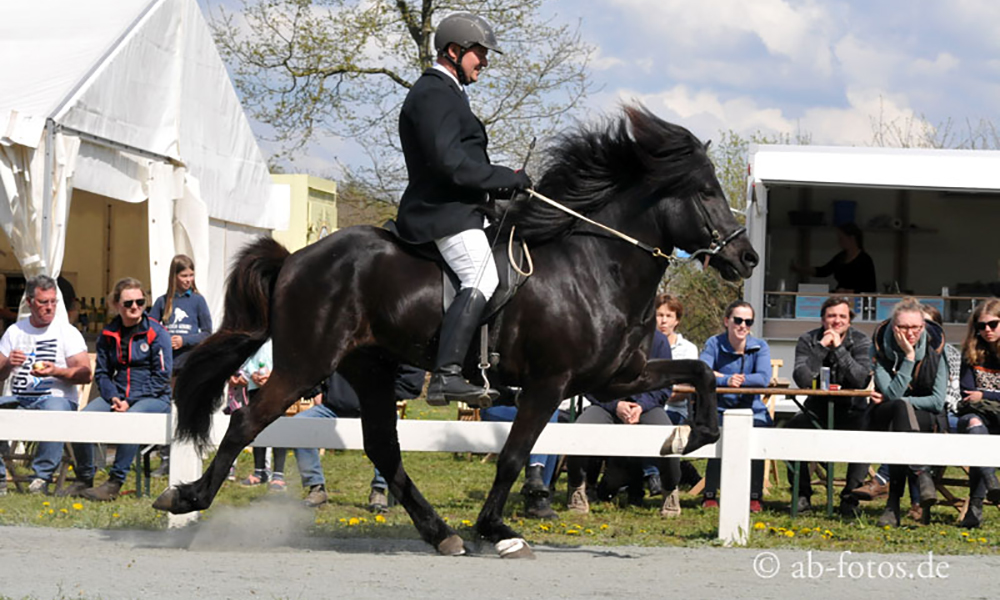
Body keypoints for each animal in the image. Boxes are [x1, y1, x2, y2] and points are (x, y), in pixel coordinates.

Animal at [152, 106, 752, 556]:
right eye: (705, 192)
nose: (746, 257)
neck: (595, 267)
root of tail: (297, 257)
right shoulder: (550, 383)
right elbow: (513, 455)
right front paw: (497, 530)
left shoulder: (615, 378)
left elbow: (698, 372)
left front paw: (689, 436)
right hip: (306, 363)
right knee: (247, 421)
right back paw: (185, 499)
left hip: (367, 366)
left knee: (382, 447)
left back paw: (440, 533)